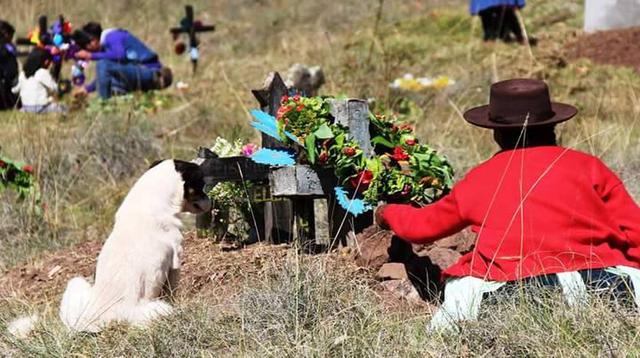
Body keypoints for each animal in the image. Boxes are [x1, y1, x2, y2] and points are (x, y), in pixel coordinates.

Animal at [58, 159, 211, 332]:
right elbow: (172, 291)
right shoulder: (175, 262)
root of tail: (98, 318)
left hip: (75, 283)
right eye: (200, 186)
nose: (210, 201)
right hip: (159, 309)